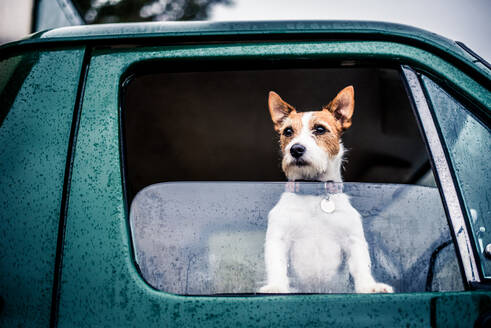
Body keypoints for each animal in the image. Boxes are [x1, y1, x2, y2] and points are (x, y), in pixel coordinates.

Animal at [260, 87, 394, 294]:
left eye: (320, 129)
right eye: (288, 131)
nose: (295, 149)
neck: (314, 193)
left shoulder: (353, 241)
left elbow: (362, 266)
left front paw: (369, 286)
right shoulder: (278, 239)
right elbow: (277, 265)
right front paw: (276, 286)